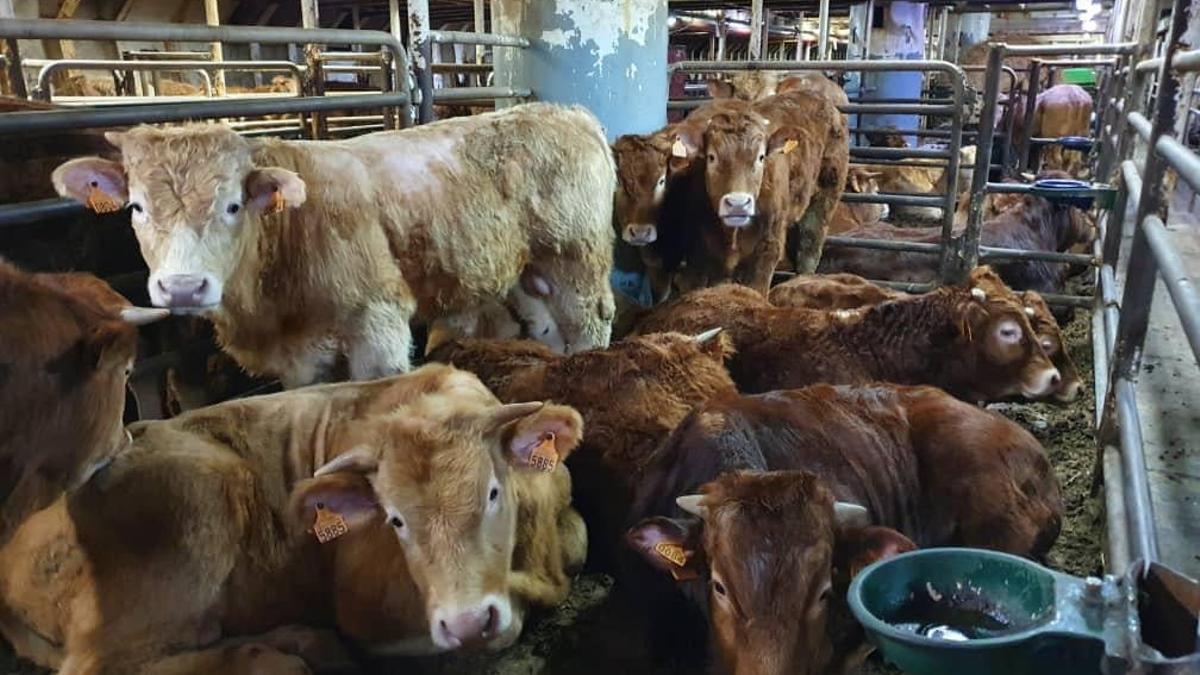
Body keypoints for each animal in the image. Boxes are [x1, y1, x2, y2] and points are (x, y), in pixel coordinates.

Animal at [0, 364, 587, 672]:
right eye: (395, 521)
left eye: (492, 492)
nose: (466, 622)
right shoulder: (367, 613)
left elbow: (580, 538)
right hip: (200, 495)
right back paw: (289, 652)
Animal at [51, 103, 617, 388]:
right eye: (136, 208)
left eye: (233, 205)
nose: (184, 287)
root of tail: (567, 111)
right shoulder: (299, 363)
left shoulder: (377, 326)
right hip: (528, 270)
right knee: (547, 326)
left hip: (575, 257)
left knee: (589, 323)